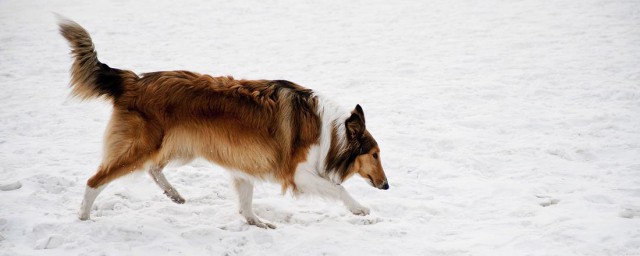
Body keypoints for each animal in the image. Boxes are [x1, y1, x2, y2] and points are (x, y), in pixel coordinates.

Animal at [60, 18, 388, 228]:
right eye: (374, 154)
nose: (386, 186)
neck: (332, 132)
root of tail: (132, 81)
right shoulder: (296, 173)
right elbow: (338, 189)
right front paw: (361, 209)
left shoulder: (244, 164)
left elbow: (245, 202)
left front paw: (257, 223)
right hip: (143, 146)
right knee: (95, 180)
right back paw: (84, 217)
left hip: (179, 144)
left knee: (154, 169)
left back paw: (174, 194)